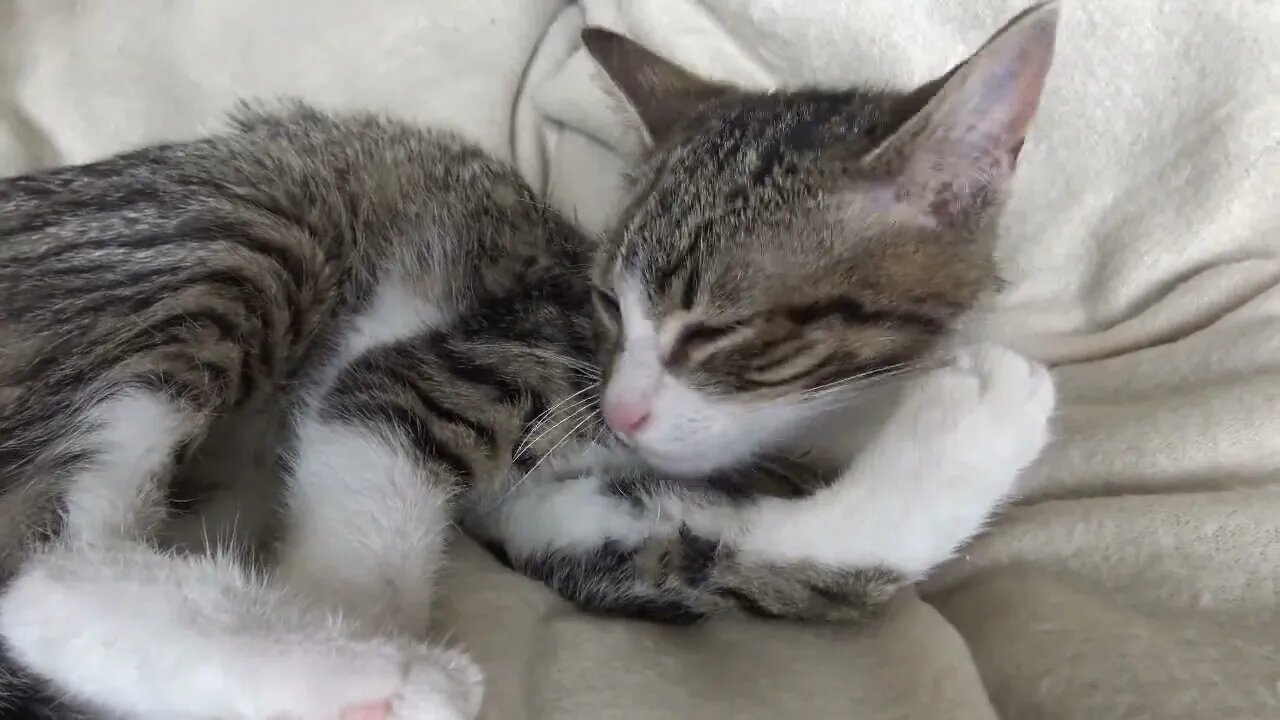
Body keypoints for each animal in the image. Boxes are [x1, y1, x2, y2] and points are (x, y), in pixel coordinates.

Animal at [0, 2, 1059, 712]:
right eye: (605, 303)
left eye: (715, 332)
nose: (622, 410)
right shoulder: (448, 370)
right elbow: (367, 509)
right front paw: (356, 636)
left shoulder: (572, 519)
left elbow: (756, 557)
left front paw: (972, 425)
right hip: (248, 232)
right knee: (44, 565)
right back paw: (370, 674)